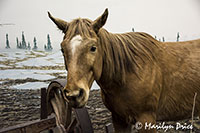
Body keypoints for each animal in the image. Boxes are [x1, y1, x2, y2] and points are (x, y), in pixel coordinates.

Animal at [48, 8, 200, 132]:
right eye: (62, 49)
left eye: (93, 47)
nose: (74, 95)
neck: (128, 74)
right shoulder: (119, 119)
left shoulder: (147, 119)